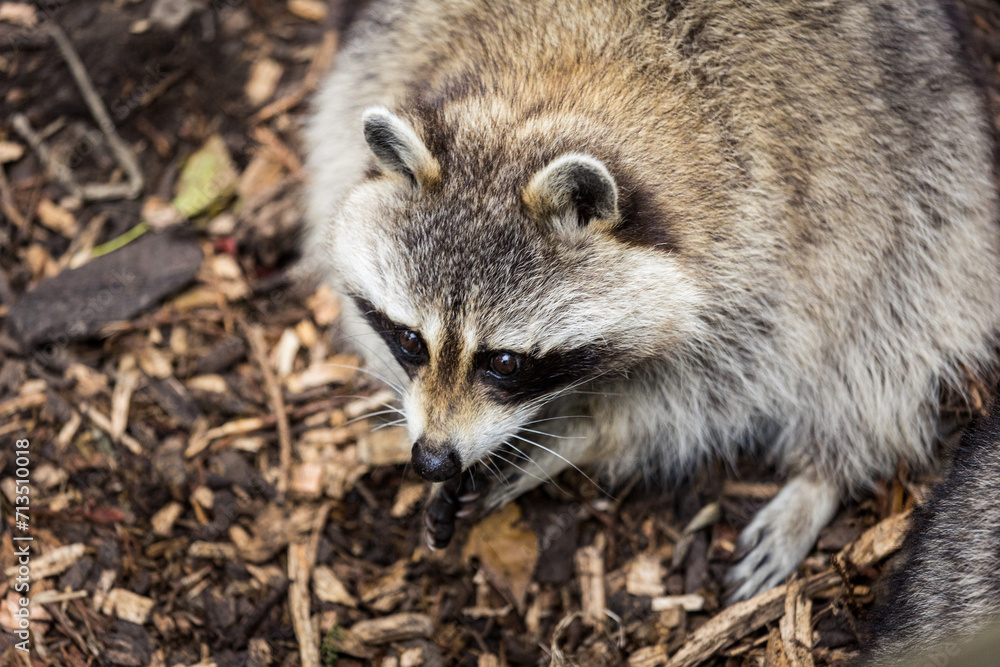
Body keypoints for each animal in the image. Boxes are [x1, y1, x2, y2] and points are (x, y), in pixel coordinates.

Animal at [304, 0, 1000, 602]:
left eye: (503, 362)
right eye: (409, 340)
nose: (431, 459)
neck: (553, 91)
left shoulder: (761, 247)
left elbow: (703, 396)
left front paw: (569, 438)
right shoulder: (385, 65)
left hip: (930, 177)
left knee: (886, 326)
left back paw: (826, 472)